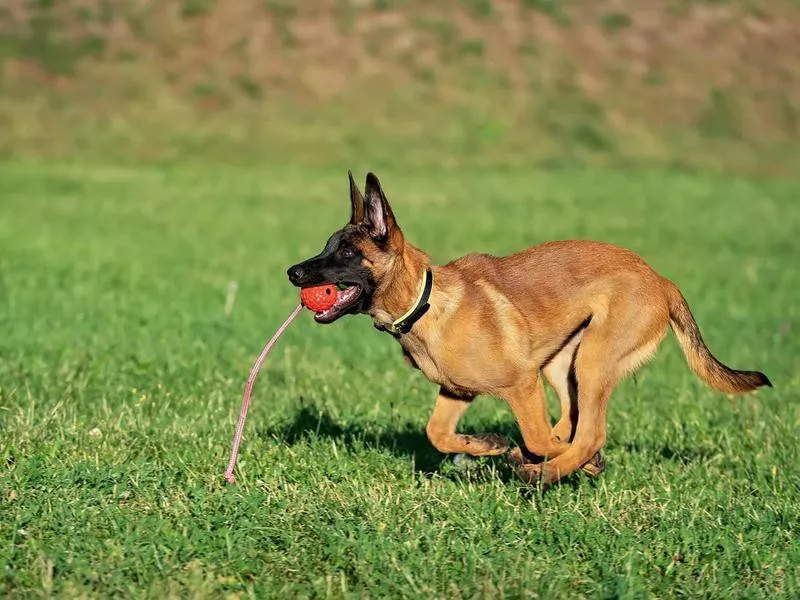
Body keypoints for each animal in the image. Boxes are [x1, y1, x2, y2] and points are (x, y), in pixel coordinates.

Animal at [286, 172, 768, 488]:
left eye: (347, 252)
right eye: (328, 246)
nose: (292, 272)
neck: (425, 303)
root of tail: (662, 280)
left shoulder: (520, 382)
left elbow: (538, 434)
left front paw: (547, 459)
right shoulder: (457, 391)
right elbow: (436, 433)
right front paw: (488, 444)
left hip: (591, 360)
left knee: (588, 432)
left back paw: (545, 470)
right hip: (563, 363)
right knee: (573, 421)